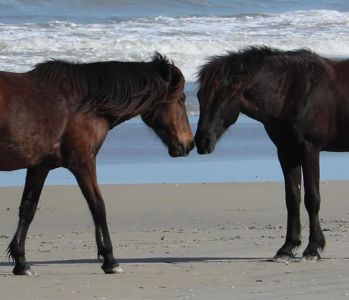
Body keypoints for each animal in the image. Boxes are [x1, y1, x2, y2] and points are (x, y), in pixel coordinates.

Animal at [0, 52, 193, 276]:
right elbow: (98, 206)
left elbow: (28, 208)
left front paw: (21, 261)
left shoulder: (39, 167)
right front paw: (110, 260)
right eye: (181, 99)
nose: (189, 144)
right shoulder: (83, 163)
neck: (84, 103)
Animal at [194, 45, 348, 262]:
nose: (202, 142)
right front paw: (287, 248)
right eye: (200, 97)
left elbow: (312, 198)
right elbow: (292, 198)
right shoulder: (286, 151)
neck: (293, 91)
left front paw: (313, 248)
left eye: (221, 97)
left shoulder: (310, 149)